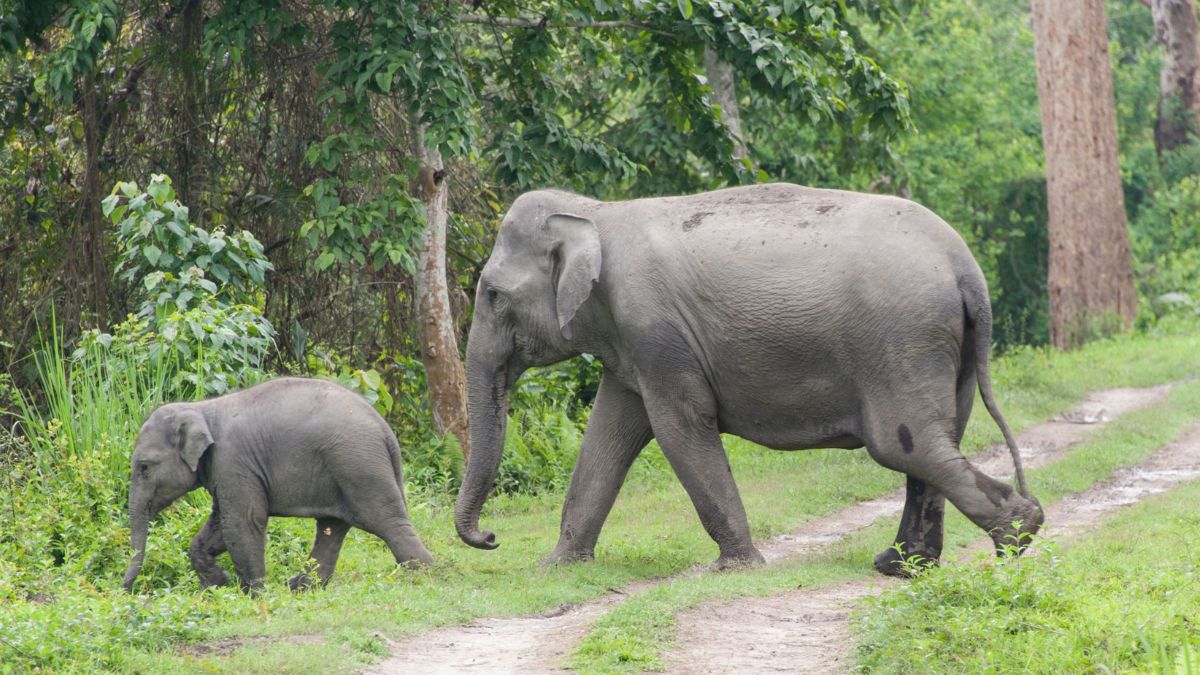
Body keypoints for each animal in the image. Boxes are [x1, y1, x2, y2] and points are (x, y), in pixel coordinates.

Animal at [120, 374, 432, 590]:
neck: (201, 409)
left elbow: (243, 521)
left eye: (144, 468)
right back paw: (301, 587)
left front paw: (253, 594)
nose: (126, 591)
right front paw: (218, 585)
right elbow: (220, 523)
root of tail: (385, 430)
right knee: (332, 528)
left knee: (387, 521)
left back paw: (425, 576)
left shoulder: (233, 461)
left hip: (358, 466)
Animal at [451, 183, 1041, 571]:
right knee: (939, 440)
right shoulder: (633, 342)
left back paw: (1019, 533)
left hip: (901, 341)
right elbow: (611, 433)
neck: (595, 212)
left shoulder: (655, 330)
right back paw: (901, 566)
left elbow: (679, 427)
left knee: (908, 445)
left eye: (493, 295)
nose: (491, 537)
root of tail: (966, 268)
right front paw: (558, 566)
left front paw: (736, 567)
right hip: (942, 349)